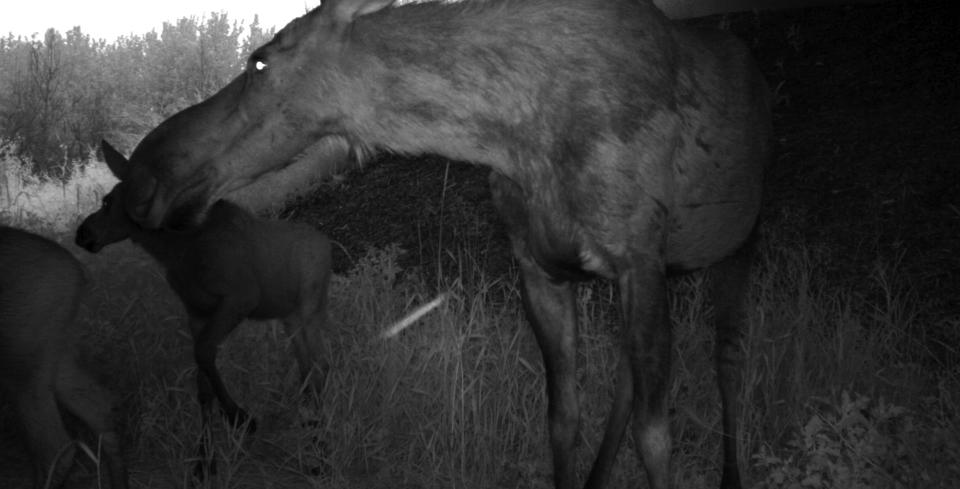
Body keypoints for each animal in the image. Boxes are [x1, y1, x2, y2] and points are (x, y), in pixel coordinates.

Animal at [74, 141, 334, 472]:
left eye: (107, 201)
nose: (83, 233)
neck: (177, 252)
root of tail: (328, 245)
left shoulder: (239, 299)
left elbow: (204, 353)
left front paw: (240, 418)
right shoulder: (196, 312)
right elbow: (202, 382)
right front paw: (203, 463)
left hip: (310, 307)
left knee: (320, 365)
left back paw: (320, 446)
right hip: (289, 317)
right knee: (307, 369)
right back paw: (313, 436)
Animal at [112, 0, 776, 486]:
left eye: (259, 61)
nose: (144, 172)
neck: (519, 136)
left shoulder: (638, 258)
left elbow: (655, 436)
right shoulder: (541, 267)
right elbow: (562, 417)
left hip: (741, 239)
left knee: (729, 354)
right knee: (629, 380)